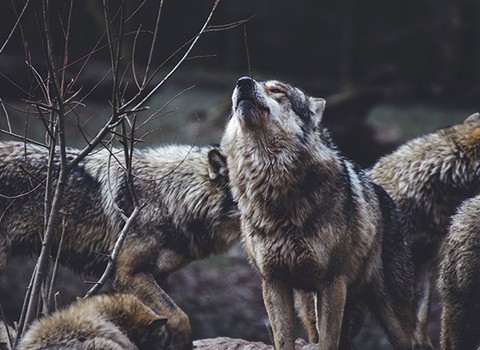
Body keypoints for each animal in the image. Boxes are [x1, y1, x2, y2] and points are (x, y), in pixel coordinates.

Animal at [219, 76, 426, 350]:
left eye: (277, 90)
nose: (242, 82)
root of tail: (384, 195)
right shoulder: (274, 283)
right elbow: (283, 340)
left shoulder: (331, 282)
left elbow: (328, 342)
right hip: (311, 309)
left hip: (394, 320)